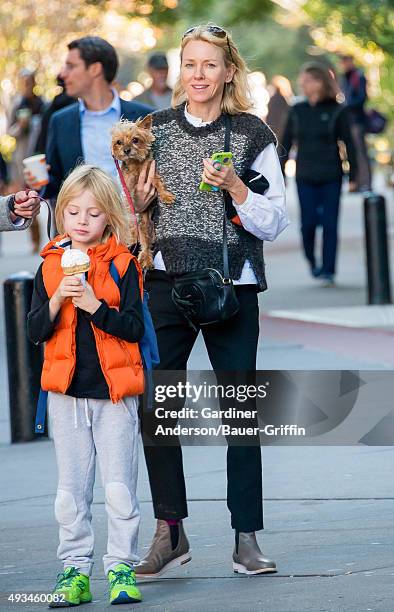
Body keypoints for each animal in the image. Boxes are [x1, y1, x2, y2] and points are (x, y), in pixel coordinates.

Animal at [110, 113, 173, 268]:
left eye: (135, 140)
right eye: (119, 142)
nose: (126, 150)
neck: (135, 163)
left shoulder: (151, 172)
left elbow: (159, 183)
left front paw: (166, 196)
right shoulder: (128, 188)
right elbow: (129, 207)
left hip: (147, 224)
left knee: (146, 242)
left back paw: (147, 258)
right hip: (142, 225)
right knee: (142, 238)